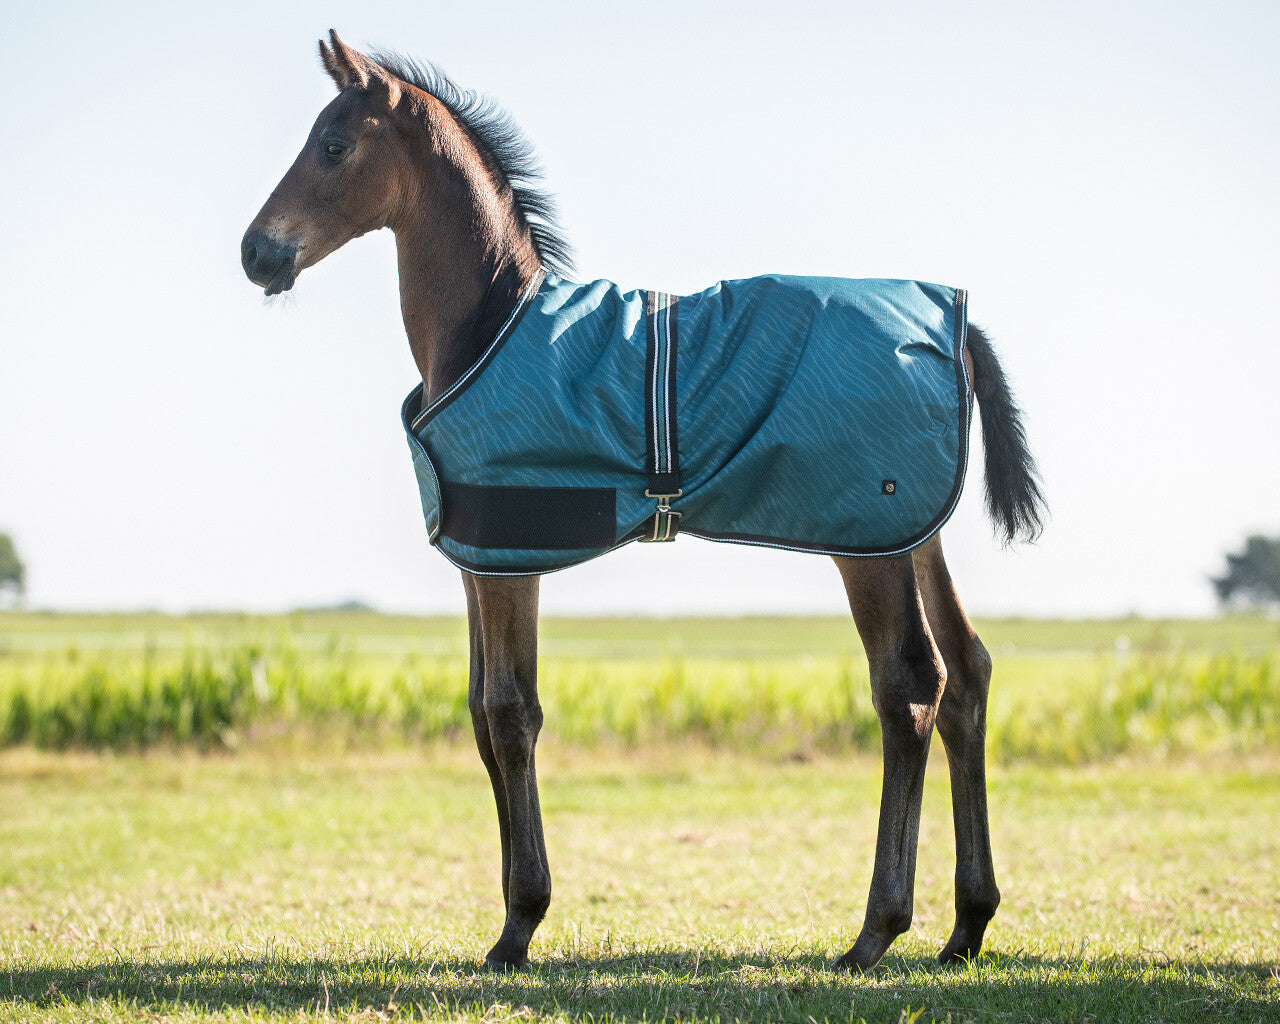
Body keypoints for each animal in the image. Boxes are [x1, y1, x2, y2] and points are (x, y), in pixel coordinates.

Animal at [241, 31, 1045, 973]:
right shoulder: (481, 557)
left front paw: (519, 926)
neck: (488, 329)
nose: (256, 253)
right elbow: (480, 713)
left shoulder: (512, 557)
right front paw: (513, 916)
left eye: (334, 144)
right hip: (910, 529)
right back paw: (968, 924)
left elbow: (511, 714)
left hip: (865, 539)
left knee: (911, 685)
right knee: (969, 673)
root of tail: (951, 321)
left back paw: (875, 931)